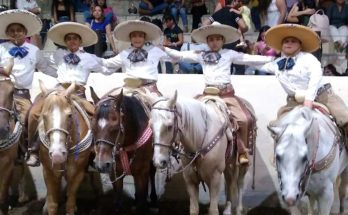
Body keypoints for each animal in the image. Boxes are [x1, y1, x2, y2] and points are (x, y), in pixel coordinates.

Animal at [37, 81, 93, 214]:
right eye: (44, 116)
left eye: (69, 115)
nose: (57, 154)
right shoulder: (49, 172)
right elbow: (52, 204)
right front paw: (48, 206)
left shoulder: (77, 173)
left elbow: (70, 203)